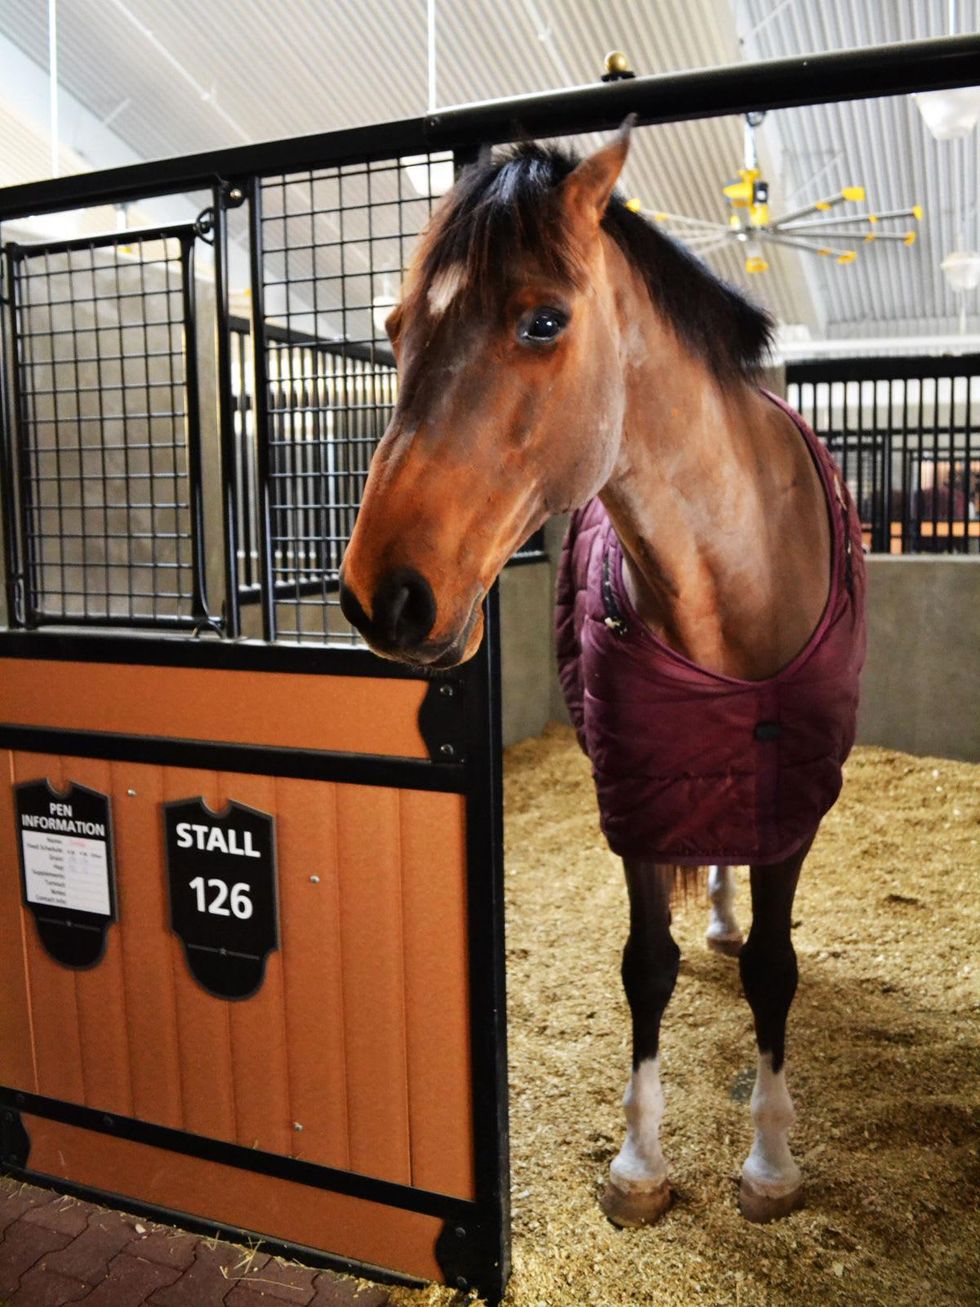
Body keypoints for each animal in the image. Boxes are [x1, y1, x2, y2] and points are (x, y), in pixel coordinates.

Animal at [339, 121, 866, 1228]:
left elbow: (774, 966)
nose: (379, 596)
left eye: (543, 320)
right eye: (396, 327)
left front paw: (769, 1161)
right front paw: (638, 1162)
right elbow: (645, 964)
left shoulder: (793, 795)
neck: (738, 568)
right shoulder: (638, 789)